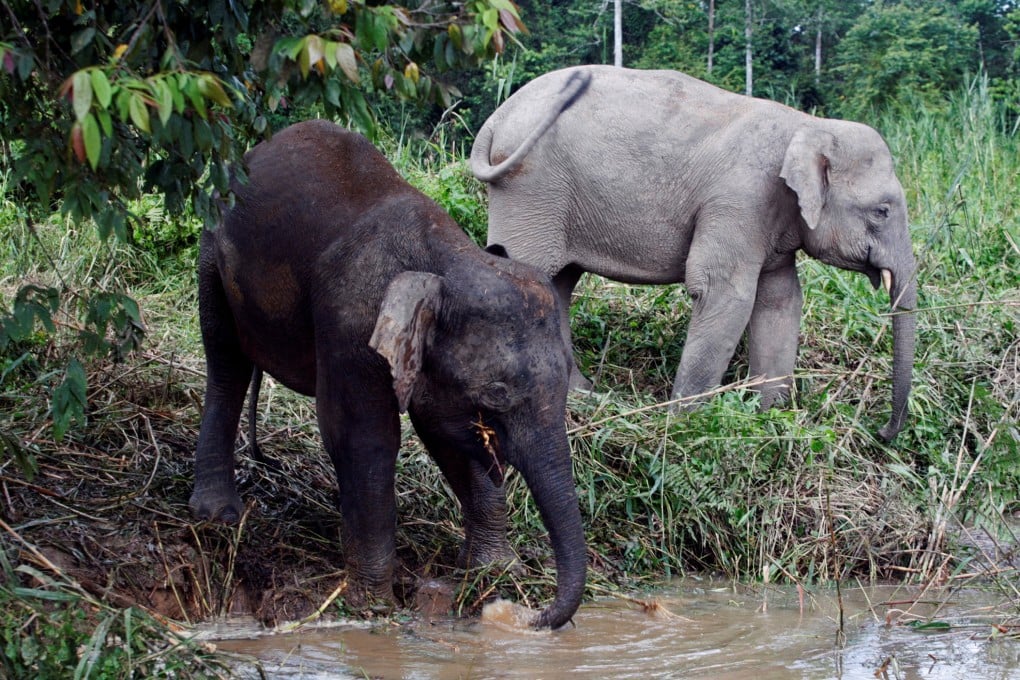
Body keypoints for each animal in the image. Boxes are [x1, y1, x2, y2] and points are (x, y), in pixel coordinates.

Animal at [190, 119, 586, 629]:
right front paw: (372, 607)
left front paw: (495, 572)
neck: (447, 259)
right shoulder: (353, 326)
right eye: (495, 395)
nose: (529, 614)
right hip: (212, 249)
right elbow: (364, 438)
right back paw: (217, 515)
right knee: (225, 358)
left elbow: (447, 435)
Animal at [470, 65, 917, 442]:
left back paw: (582, 394)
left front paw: (769, 418)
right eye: (882, 211)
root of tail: (496, 118)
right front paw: (686, 422)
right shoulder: (740, 199)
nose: (881, 433)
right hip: (531, 189)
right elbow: (723, 293)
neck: (807, 124)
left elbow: (780, 300)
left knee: (559, 283)